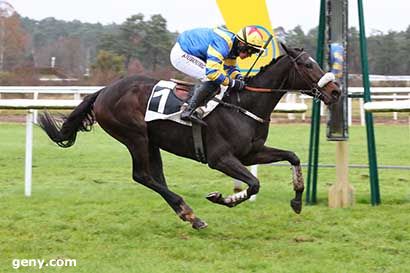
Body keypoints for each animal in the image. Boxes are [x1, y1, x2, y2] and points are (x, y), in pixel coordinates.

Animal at [39, 44, 340, 227]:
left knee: (155, 177)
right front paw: (222, 198)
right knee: (142, 176)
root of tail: (104, 90)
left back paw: (189, 215)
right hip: (135, 137)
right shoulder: (220, 158)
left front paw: (297, 201)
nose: (336, 90)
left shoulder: (251, 152)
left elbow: (293, 156)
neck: (244, 105)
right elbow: (254, 184)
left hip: (152, 141)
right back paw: (186, 210)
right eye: (308, 65)